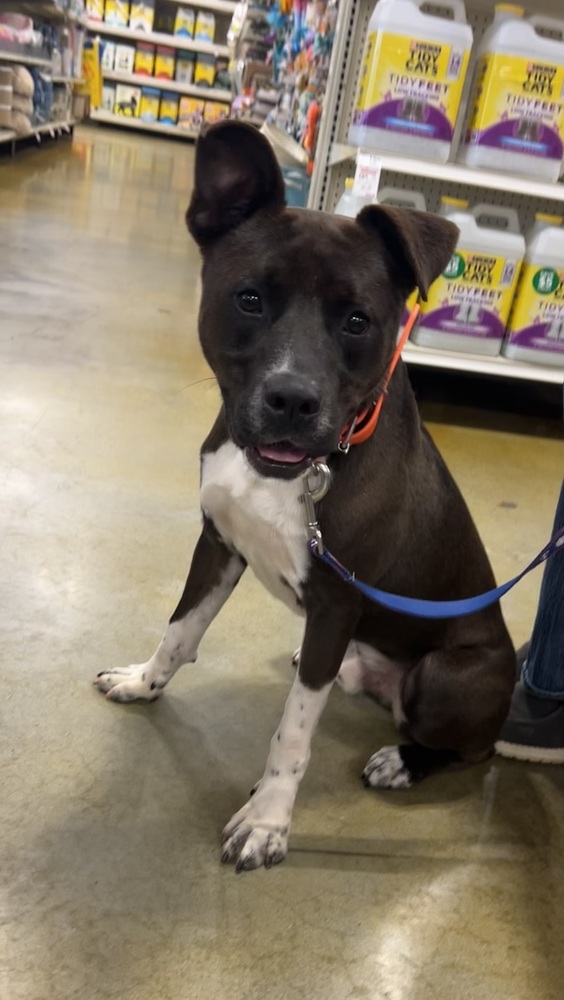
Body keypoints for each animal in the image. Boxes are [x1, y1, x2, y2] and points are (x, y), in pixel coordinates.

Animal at [96, 123, 516, 876]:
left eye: (357, 320)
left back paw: (403, 760)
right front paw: (145, 681)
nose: (292, 400)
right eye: (249, 299)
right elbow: (179, 632)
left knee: (471, 747)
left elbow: (291, 735)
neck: (294, 474)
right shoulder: (218, 544)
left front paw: (267, 822)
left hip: (445, 676)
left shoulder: (337, 604)